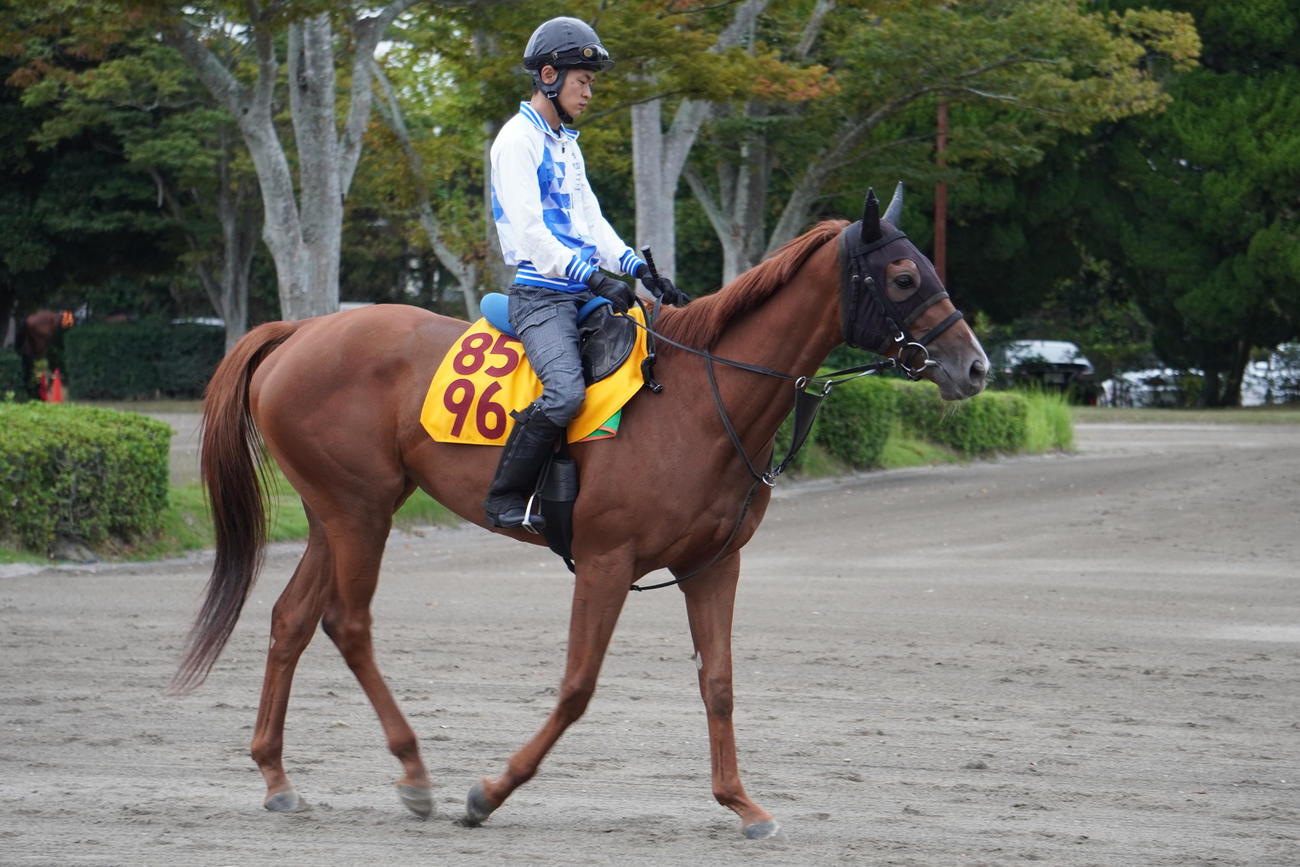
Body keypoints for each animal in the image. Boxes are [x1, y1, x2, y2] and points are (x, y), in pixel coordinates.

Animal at [173, 186, 990, 839]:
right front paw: (488, 792)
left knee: (291, 619)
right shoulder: (605, 560)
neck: (698, 399)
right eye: (904, 275)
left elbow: (719, 684)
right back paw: (414, 773)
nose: (975, 366)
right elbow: (577, 686)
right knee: (347, 624)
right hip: (359, 513)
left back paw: (277, 777)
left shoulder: (712, 565)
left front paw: (742, 803)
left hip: (337, 513)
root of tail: (301, 331)